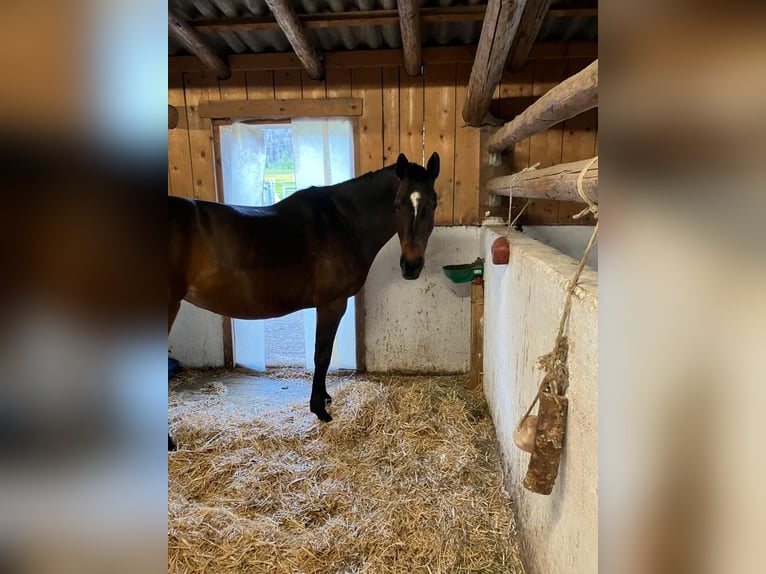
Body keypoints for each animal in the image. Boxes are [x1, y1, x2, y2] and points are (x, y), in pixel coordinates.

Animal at [170, 151, 440, 448]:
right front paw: (319, 409)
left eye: (433, 202)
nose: (411, 266)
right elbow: (322, 355)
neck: (344, 222)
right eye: (398, 204)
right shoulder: (331, 304)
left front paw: (324, 398)